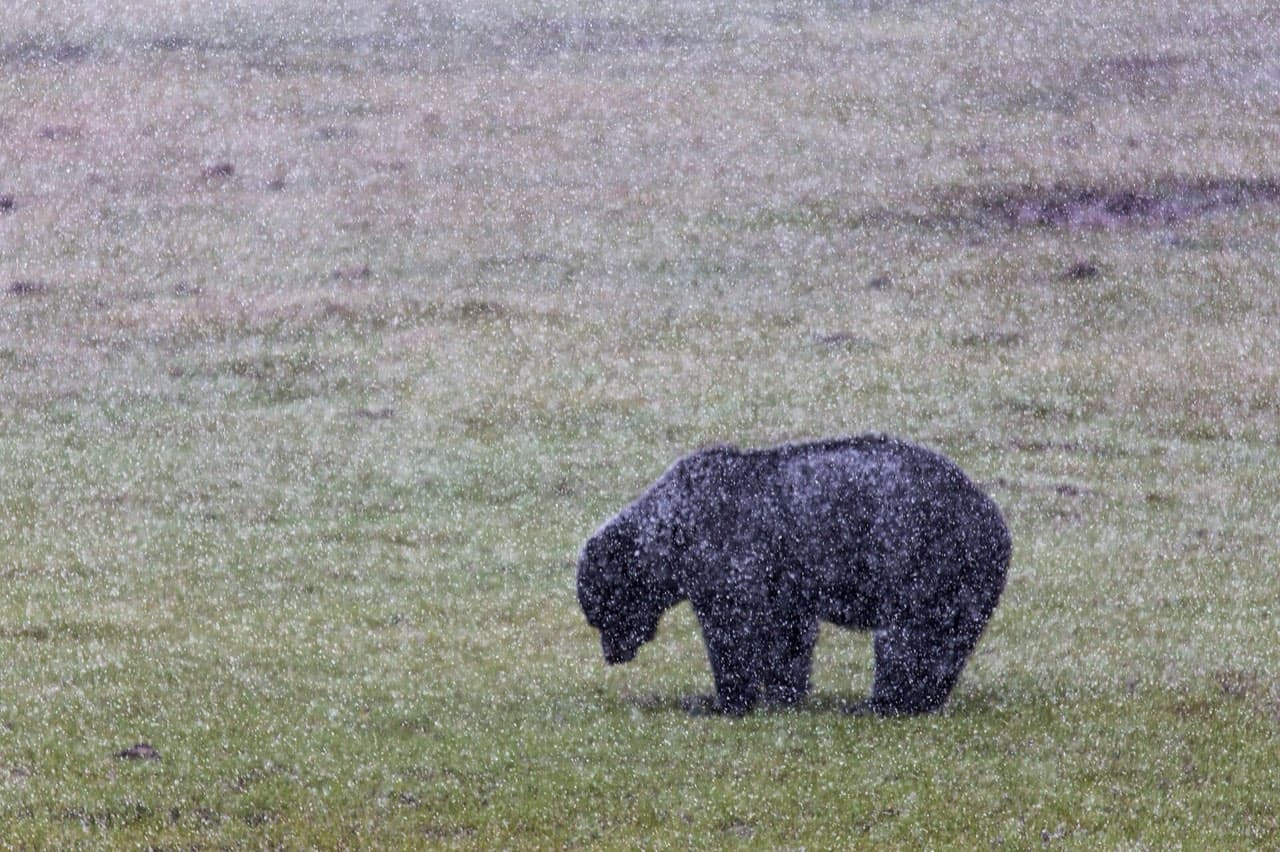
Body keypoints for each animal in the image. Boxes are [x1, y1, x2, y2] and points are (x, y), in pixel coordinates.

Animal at [577, 434, 1011, 716]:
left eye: (602, 613)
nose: (612, 654)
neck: (674, 533)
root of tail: (995, 521)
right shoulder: (784, 580)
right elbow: (788, 635)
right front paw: (783, 691)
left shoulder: (728, 552)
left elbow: (733, 630)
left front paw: (723, 700)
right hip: (966, 582)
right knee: (947, 643)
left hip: (924, 557)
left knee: (908, 636)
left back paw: (883, 703)